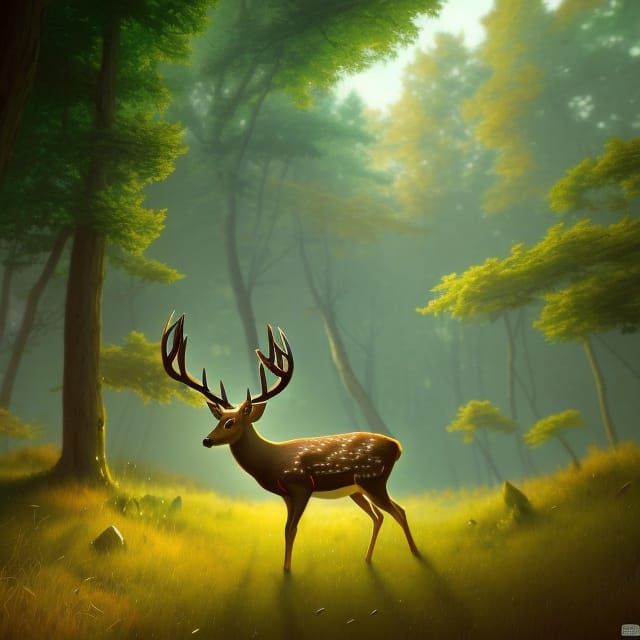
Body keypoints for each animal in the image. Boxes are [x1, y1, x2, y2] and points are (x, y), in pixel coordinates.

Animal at [161, 313, 420, 572]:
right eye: (219, 419)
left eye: (230, 423)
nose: (207, 440)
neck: (271, 461)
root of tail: (397, 447)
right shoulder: (286, 494)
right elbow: (286, 529)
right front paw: (285, 568)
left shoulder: (301, 485)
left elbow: (291, 529)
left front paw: (287, 571)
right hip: (357, 488)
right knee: (380, 515)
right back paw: (368, 559)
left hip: (373, 479)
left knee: (399, 511)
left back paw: (416, 554)